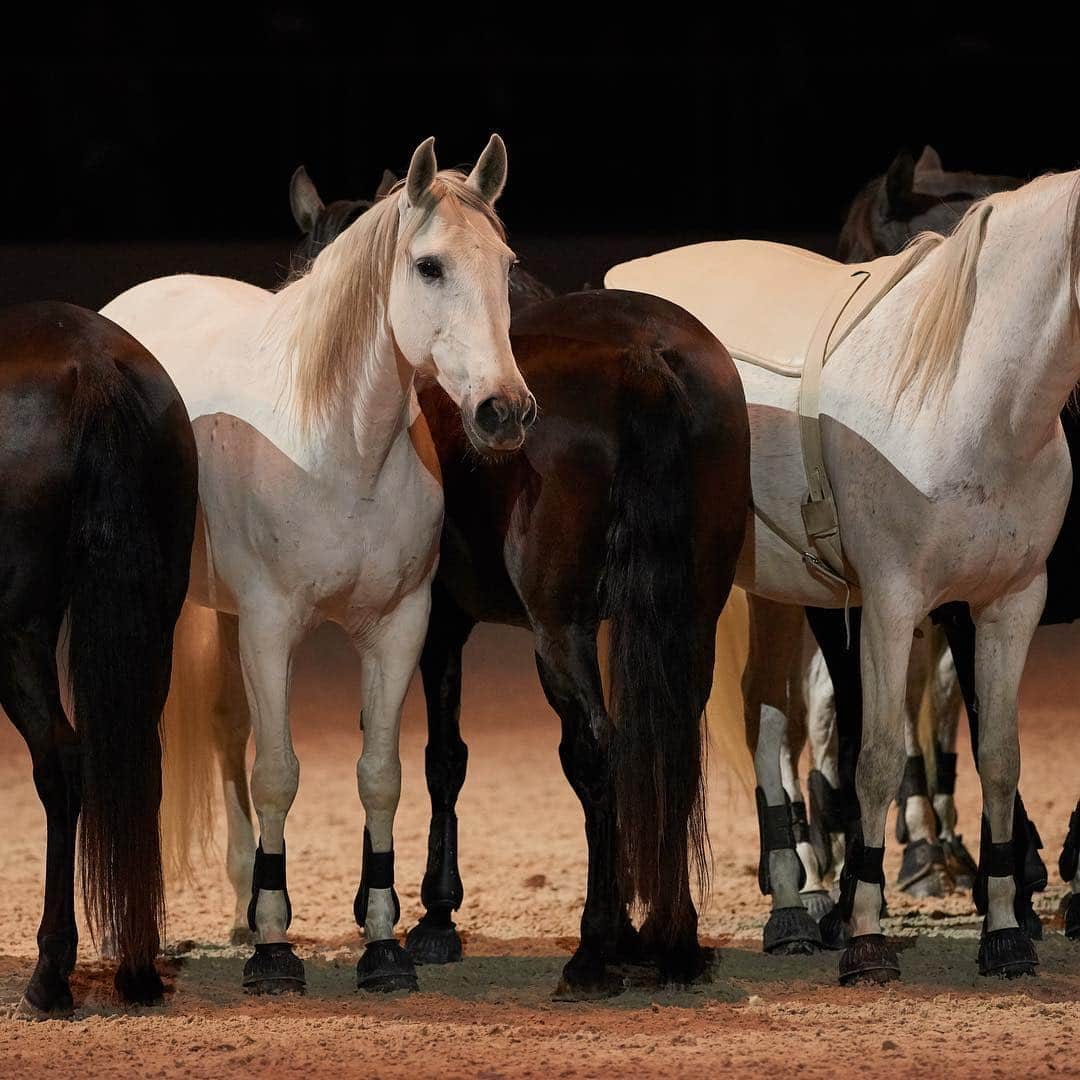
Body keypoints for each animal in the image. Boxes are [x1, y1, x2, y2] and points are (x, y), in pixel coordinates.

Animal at [1, 302, 196, 1010]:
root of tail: (91, 363)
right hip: (157, 620)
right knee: (139, 762)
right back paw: (137, 970)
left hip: (16, 631)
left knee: (61, 762)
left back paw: (49, 976)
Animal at [103, 137, 533, 993]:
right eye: (429, 266)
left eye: (504, 264)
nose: (504, 410)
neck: (339, 449)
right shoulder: (271, 629)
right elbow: (278, 773)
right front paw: (274, 951)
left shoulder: (400, 628)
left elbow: (380, 774)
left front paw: (383, 942)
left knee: (225, 729)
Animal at [295, 170, 751, 993]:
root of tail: (646, 358)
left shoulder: (438, 624)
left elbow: (442, 757)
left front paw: (434, 917)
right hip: (690, 617)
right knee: (665, 745)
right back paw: (671, 940)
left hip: (557, 633)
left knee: (596, 751)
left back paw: (596, 949)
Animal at [613, 166, 1080, 980]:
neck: (967, 394)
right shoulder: (894, 604)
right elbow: (878, 756)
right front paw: (864, 934)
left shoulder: (1007, 603)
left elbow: (999, 757)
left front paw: (1004, 930)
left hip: (772, 588)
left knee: (767, 719)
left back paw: (791, 910)